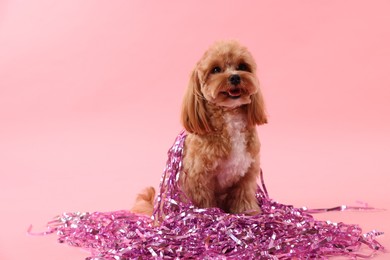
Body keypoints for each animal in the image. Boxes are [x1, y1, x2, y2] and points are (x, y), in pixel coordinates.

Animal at [133, 40, 266, 215]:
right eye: (215, 69)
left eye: (242, 66)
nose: (235, 77)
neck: (230, 117)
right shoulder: (198, 178)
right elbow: (203, 201)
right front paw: (207, 215)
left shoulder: (247, 173)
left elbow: (243, 196)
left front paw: (248, 212)